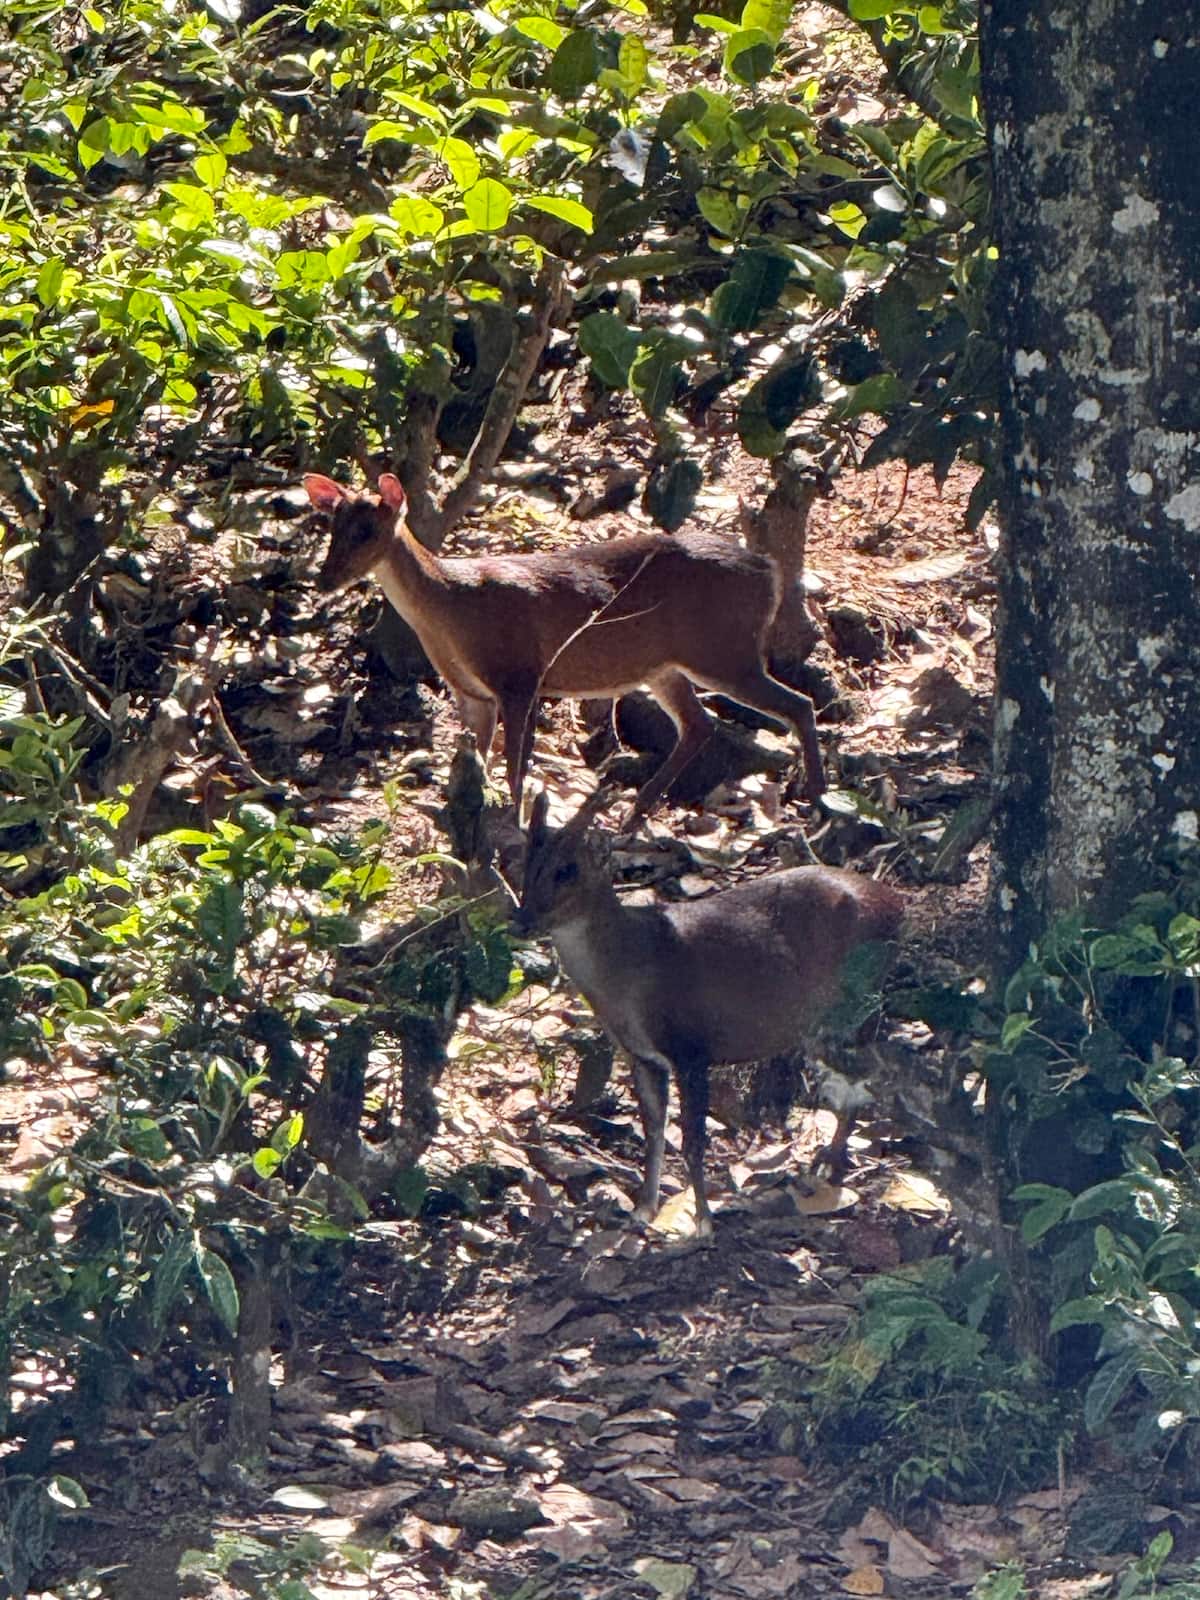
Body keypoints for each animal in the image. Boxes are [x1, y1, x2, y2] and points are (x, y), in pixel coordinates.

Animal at [303, 472, 825, 819]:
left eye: (367, 531)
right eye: (331, 527)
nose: (325, 579)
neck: (452, 608)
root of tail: (770, 572)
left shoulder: (519, 674)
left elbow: (515, 768)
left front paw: (513, 823)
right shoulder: (472, 692)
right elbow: (478, 760)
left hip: (722, 649)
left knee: (797, 703)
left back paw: (816, 794)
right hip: (666, 665)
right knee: (700, 725)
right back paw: (636, 810)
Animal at [513, 789, 905, 1240]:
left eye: (567, 870)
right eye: (526, 862)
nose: (522, 919)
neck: (631, 969)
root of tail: (899, 905)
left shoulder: (691, 1047)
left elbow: (693, 1142)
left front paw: (702, 1222)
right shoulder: (644, 1056)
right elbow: (654, 1133)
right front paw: (643, 1211)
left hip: (857, 1002)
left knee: (871, 1076)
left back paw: (834, 1163)